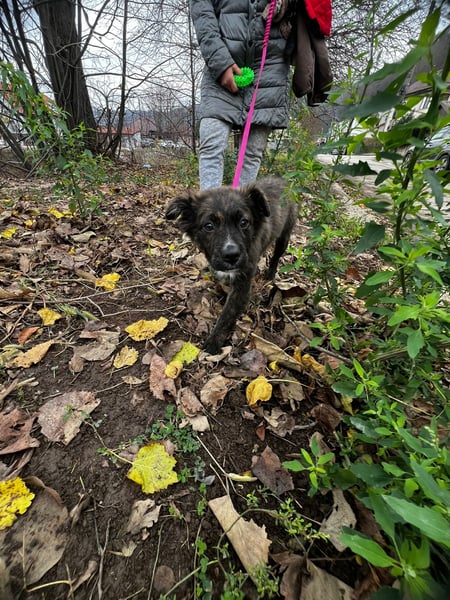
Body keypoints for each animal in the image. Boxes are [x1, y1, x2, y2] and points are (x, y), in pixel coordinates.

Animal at [165, 178, 296, 354]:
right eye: (209, 226)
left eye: (244, 222)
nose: (232, 255)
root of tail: (281, 180)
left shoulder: (243, 284)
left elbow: (228, 314)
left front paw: (213, 342)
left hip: (285, 235)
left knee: (276, 256)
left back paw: (270, 275)